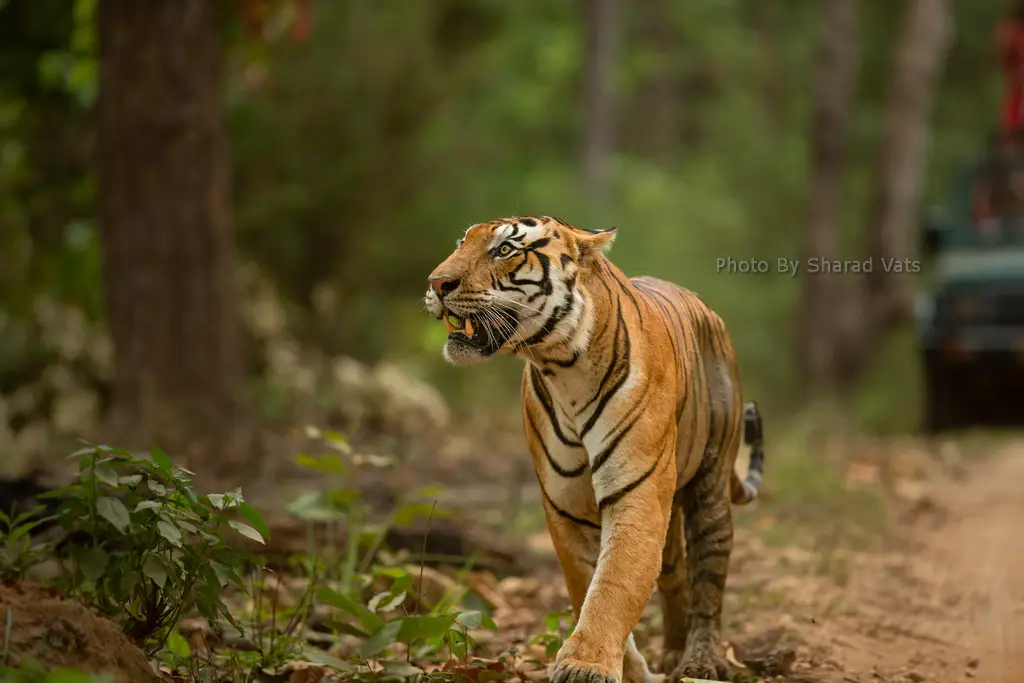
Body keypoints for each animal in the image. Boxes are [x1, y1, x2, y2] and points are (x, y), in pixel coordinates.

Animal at [423, 216, 765, 682]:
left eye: (505, 250)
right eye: (463, 243)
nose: (436, 283)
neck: (562, 365)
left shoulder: (636, 492)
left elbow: (614, 585)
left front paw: (586, 665)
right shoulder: (566, 505)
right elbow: (587, 584)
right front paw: (627, 668)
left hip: (710, 490)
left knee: (708, 580)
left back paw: (702, 660)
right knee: (674, 574)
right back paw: (672, 654)